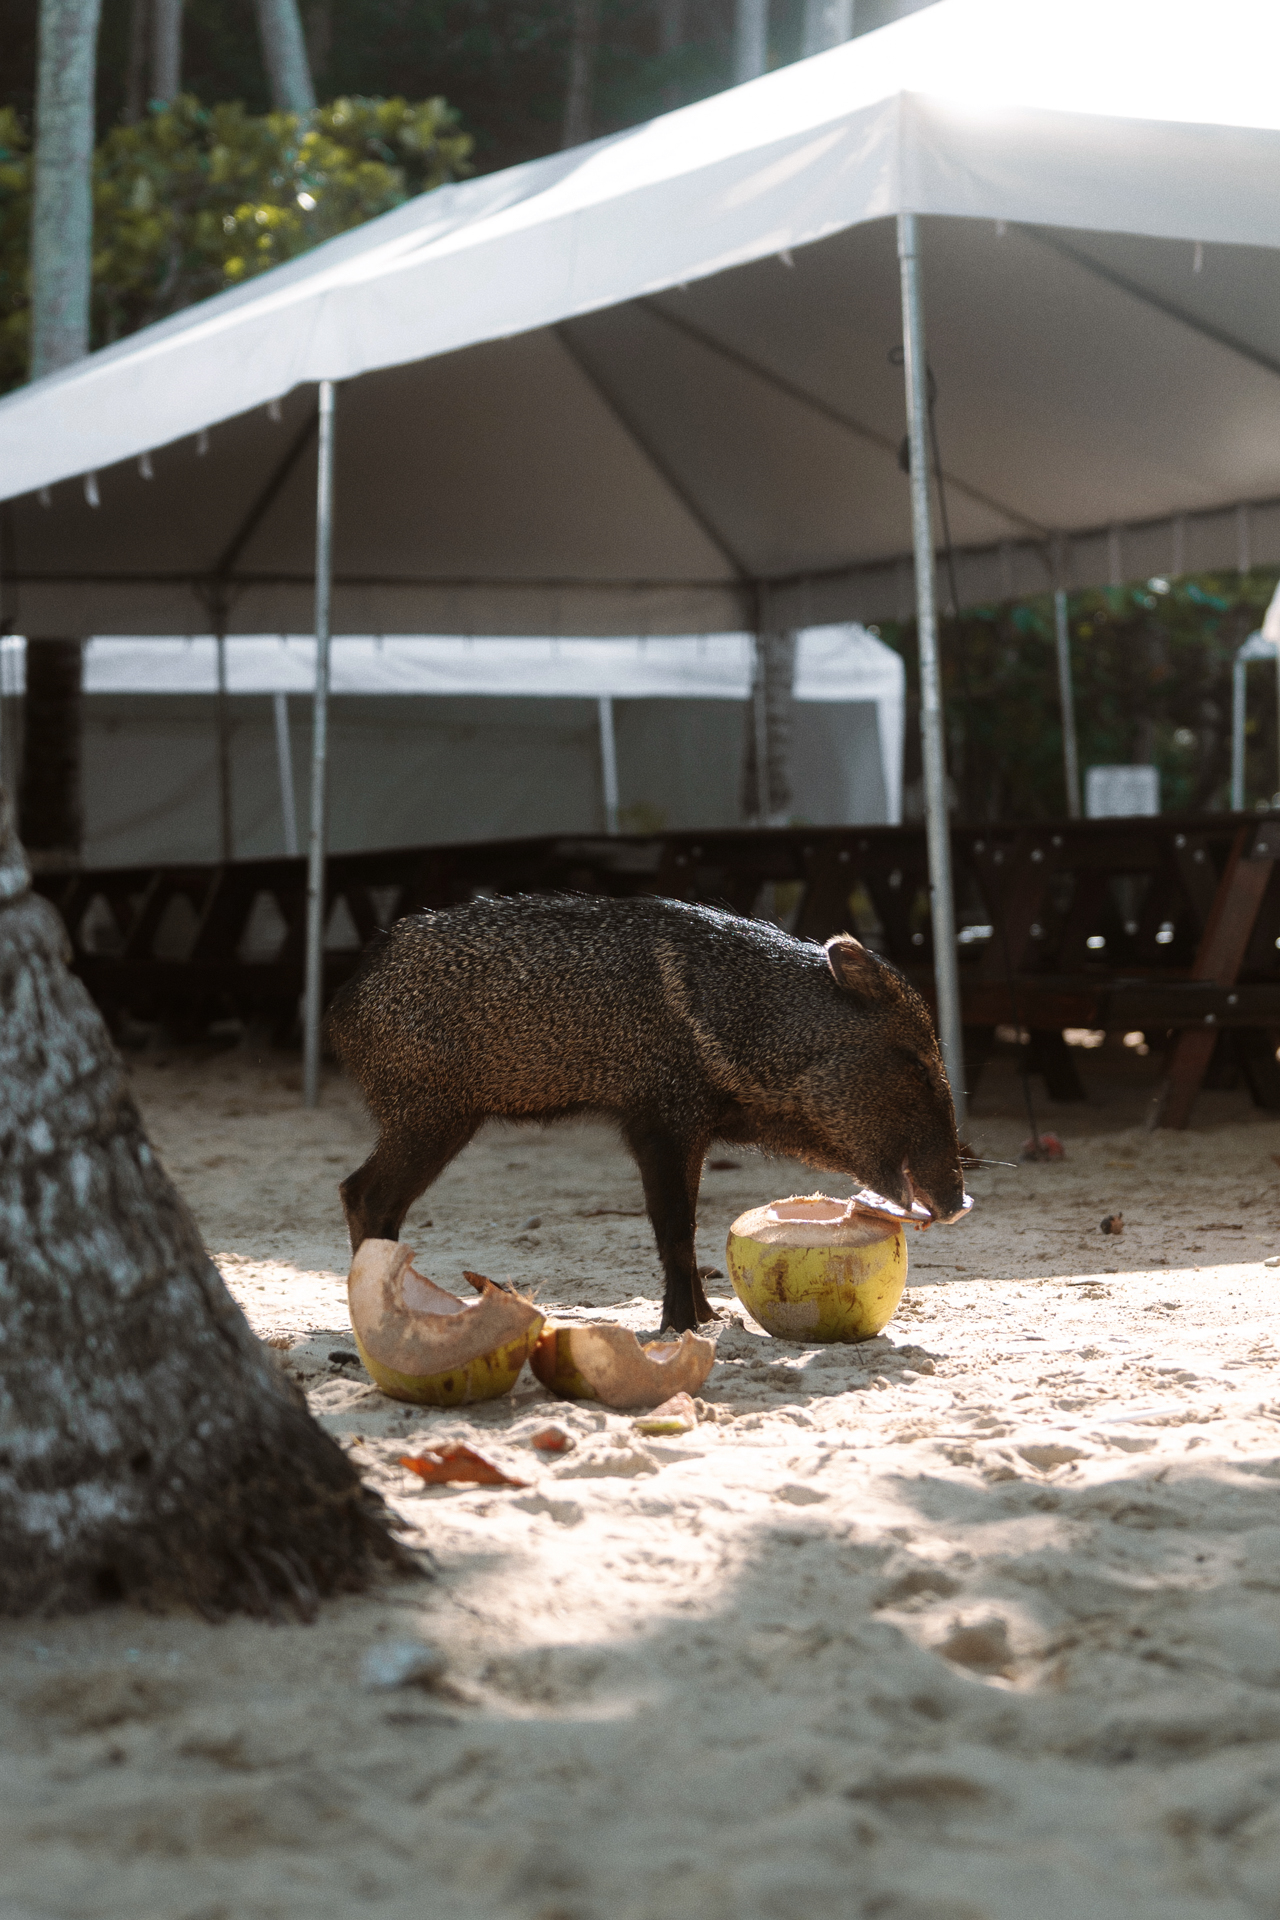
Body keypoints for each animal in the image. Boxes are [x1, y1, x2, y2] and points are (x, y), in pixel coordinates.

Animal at [326, 894, 966, 1332]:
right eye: (912, 1060)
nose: (958, 1204)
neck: (738, 1025)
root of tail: (344, 1004)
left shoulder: (692, 1130)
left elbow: (687, 1228)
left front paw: (708, 1319)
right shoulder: (661, 1121)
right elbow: (674, 1228)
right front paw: (682, 1327)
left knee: (376, 1199)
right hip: (431, 1112)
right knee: (364, 1194)